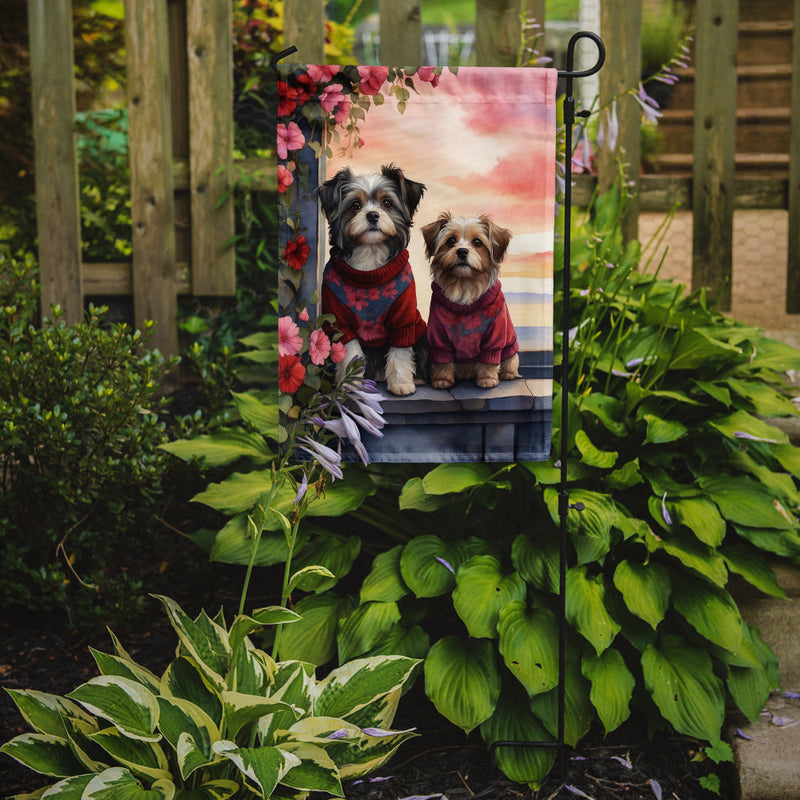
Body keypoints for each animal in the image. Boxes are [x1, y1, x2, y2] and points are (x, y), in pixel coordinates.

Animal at [318, 164, 432, 396]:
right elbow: (351, 352)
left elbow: (400, 352)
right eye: (355, 205)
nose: (372, 215)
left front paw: (401, 383)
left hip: (420, 333)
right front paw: (350, 383)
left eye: (387, 203)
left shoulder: (403, 321)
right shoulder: (340, 323)